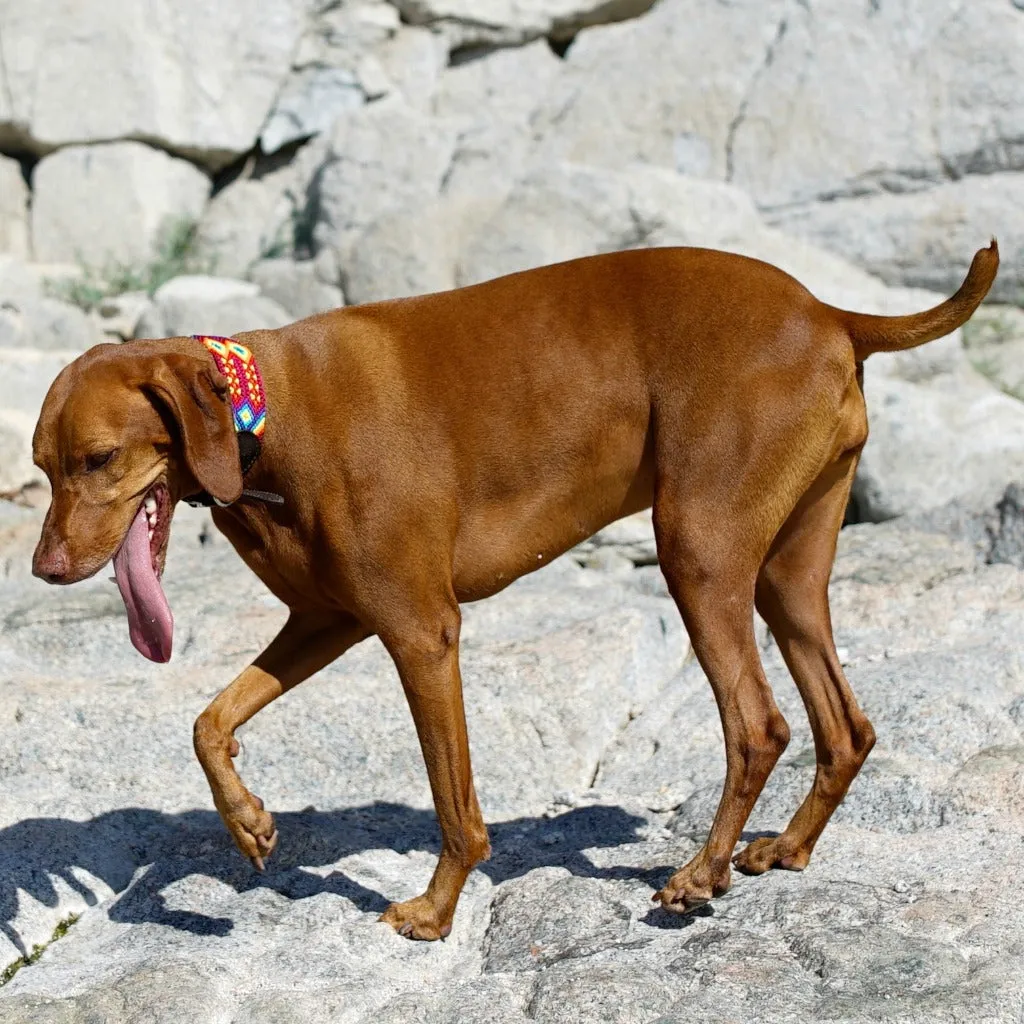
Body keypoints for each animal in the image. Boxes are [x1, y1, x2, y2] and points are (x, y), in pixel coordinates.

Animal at [32, 243, 999, 937]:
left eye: (100, 459)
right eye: (41, 466)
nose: (43, 570)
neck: (266, 415)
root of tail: (828, 312)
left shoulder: (421, 631)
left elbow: (455, 803)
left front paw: (435, 912)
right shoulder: (327, 621)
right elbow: (209, 720)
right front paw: (249, 824)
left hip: (698, 554)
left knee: (759, 727)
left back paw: (698, 875)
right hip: (784, 580)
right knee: (846, 726)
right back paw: (787, 850)